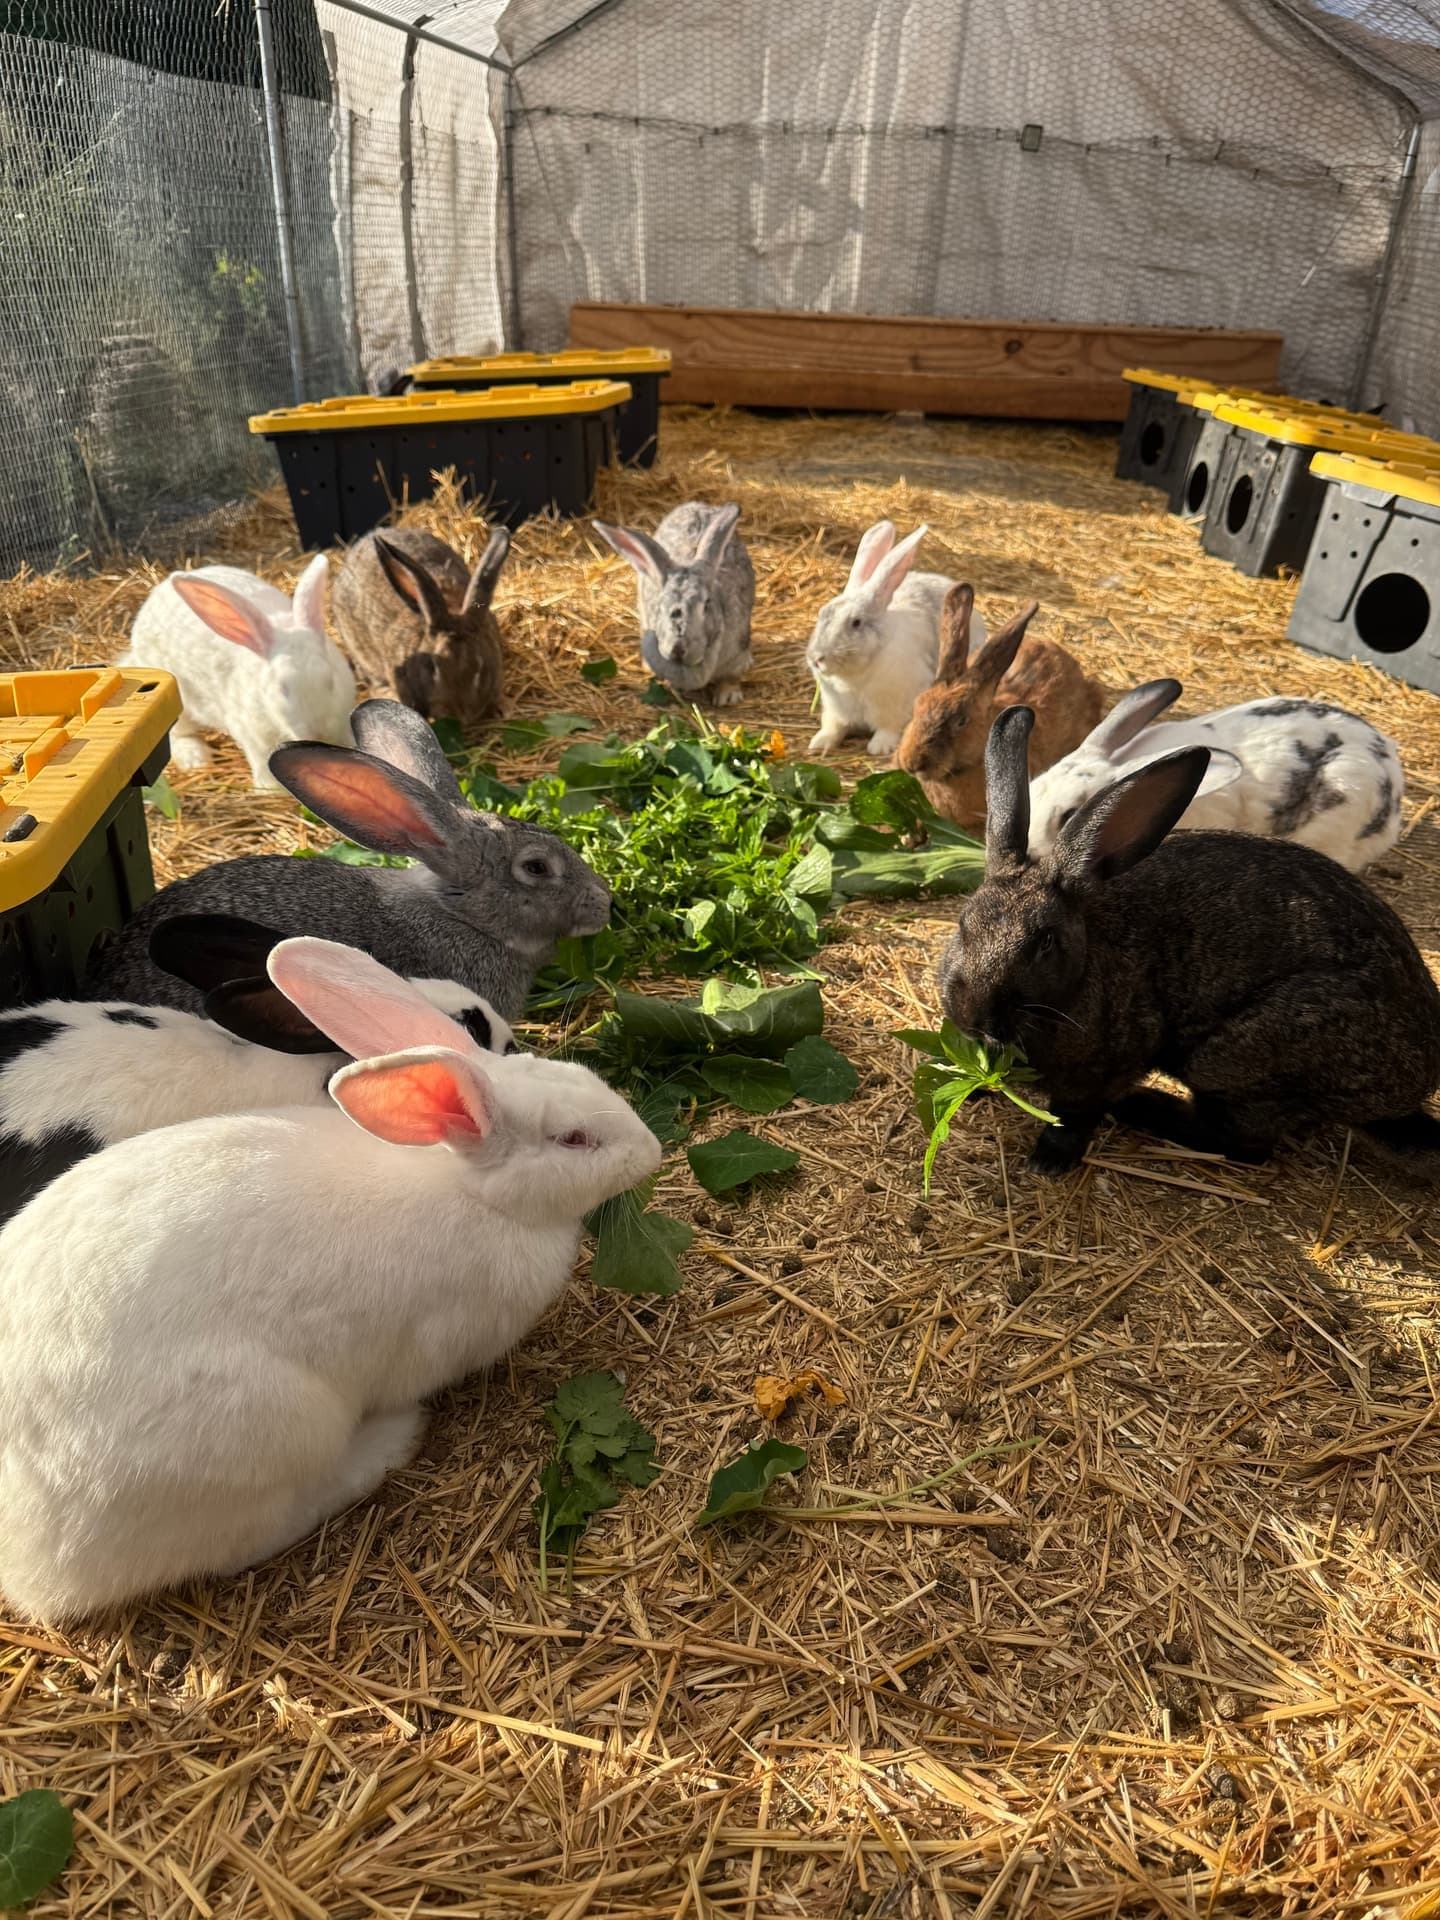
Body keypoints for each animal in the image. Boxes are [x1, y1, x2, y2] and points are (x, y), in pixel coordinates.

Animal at [120, 556, 355, 790]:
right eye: (282, 689)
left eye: (330, 681)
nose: (319, 735)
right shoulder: (254, 735)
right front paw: (270, 788)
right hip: (176, 704)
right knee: (177, 733)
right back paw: (196, 759)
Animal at [329, 526, 510, 731]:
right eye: (432, 667)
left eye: (480, 666)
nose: (460, 714)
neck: (452, 609)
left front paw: (503, 709)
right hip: (361, 653)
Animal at [593, 502, 755, 705]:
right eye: (660, 605)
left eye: (706, 605)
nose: (678, 648)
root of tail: (699, 505)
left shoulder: (736, 650)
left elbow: (731, 677)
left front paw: (728, 697)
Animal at [806, 522, 984, 758]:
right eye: (821, 612)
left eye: (856, 622)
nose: (816, 658)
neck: (853, 679)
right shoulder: (835, 710)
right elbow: (834, 727)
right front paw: (819, 742)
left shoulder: (897, 707)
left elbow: (888, 729)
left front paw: (879, 747)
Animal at [936, 705, 1440, 1180]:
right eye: (963, 924)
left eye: (1043, 942)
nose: (973, 1015)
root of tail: (1409, 1090)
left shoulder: (1109, 1066)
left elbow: (1074, 1115)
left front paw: (1049, 1161)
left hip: (1236, 1060)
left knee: (1246, 1143)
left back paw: (1144, 1108)